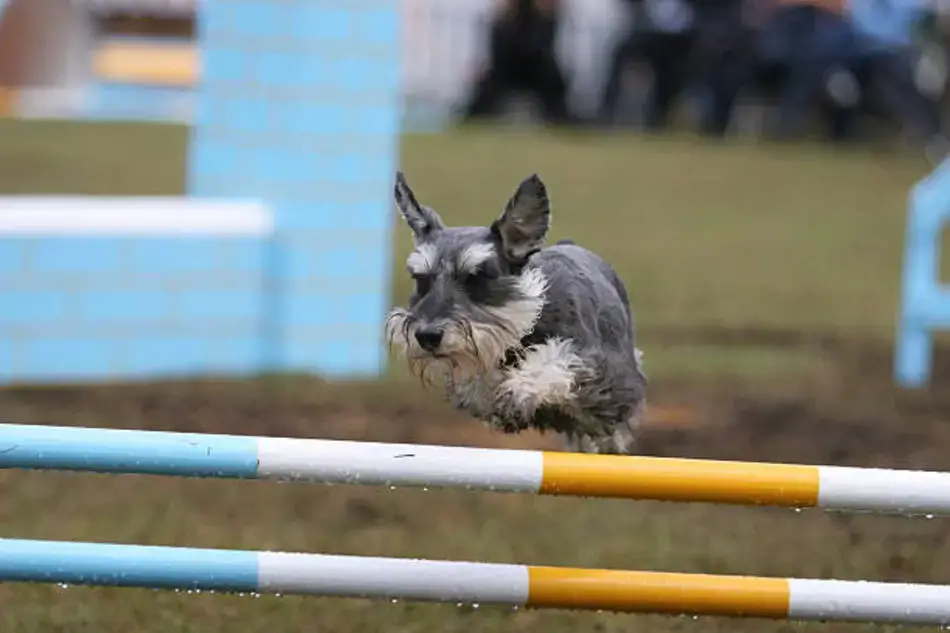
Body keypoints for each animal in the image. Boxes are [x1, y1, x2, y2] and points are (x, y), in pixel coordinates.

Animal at [384, 170, 648, 452]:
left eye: (477, 277)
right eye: (420, 279)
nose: (427, 336)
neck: (530, 314)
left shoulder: (595, 365)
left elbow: (552, 362)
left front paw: (519, 390)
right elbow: (477, 382)